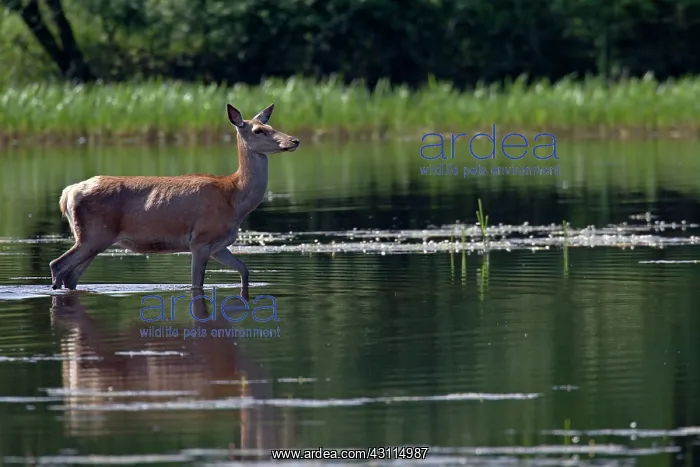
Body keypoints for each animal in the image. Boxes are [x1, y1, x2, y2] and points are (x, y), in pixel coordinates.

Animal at [49, 103, 299, 296]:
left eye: (271, 126)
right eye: (258, 130)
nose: (294, 140)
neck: (235, 197)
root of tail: (67, 194)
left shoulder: (219, 245)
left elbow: (245, 271)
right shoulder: (200, 239)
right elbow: (196, 285)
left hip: (93, 239)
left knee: (71, 276)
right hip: (93, 235)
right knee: (57, 265)